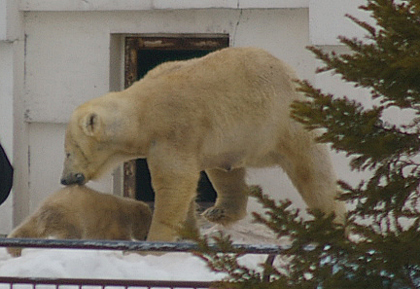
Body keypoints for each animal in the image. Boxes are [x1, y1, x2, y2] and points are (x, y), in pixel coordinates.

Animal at [6, 186, 152, 255]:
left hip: (40, 214)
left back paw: (14, 248)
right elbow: (120, 238)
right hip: (70, 217)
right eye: (147, 227)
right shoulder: (115, 221)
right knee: (71, 234)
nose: (145, 238)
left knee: (28, 228)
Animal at [60, 46, 346, 241]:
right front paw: (188, 232)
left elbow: (174, 182)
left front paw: (156, 240)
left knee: (312, 170)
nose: (65, 179)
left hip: (282, 119)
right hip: (230, 137)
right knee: (224, 169)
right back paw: (219, 212)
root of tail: (289, 71)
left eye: (69, 152)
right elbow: (186, 184)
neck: (142, 112)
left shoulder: (173, 131)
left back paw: (333, 221)